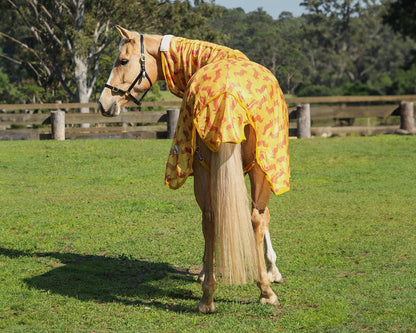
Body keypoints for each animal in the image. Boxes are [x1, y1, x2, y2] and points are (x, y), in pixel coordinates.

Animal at [97, 26, 290, 314]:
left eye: (122, 61)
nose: (103, 103)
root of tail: (226, 94)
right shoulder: (264, 169)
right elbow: (263, 217)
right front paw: (272, 270)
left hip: (204, 168)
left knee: (210, 218)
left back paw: (207, 296)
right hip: (256, 167)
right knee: (253, 218)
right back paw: (264, 291)